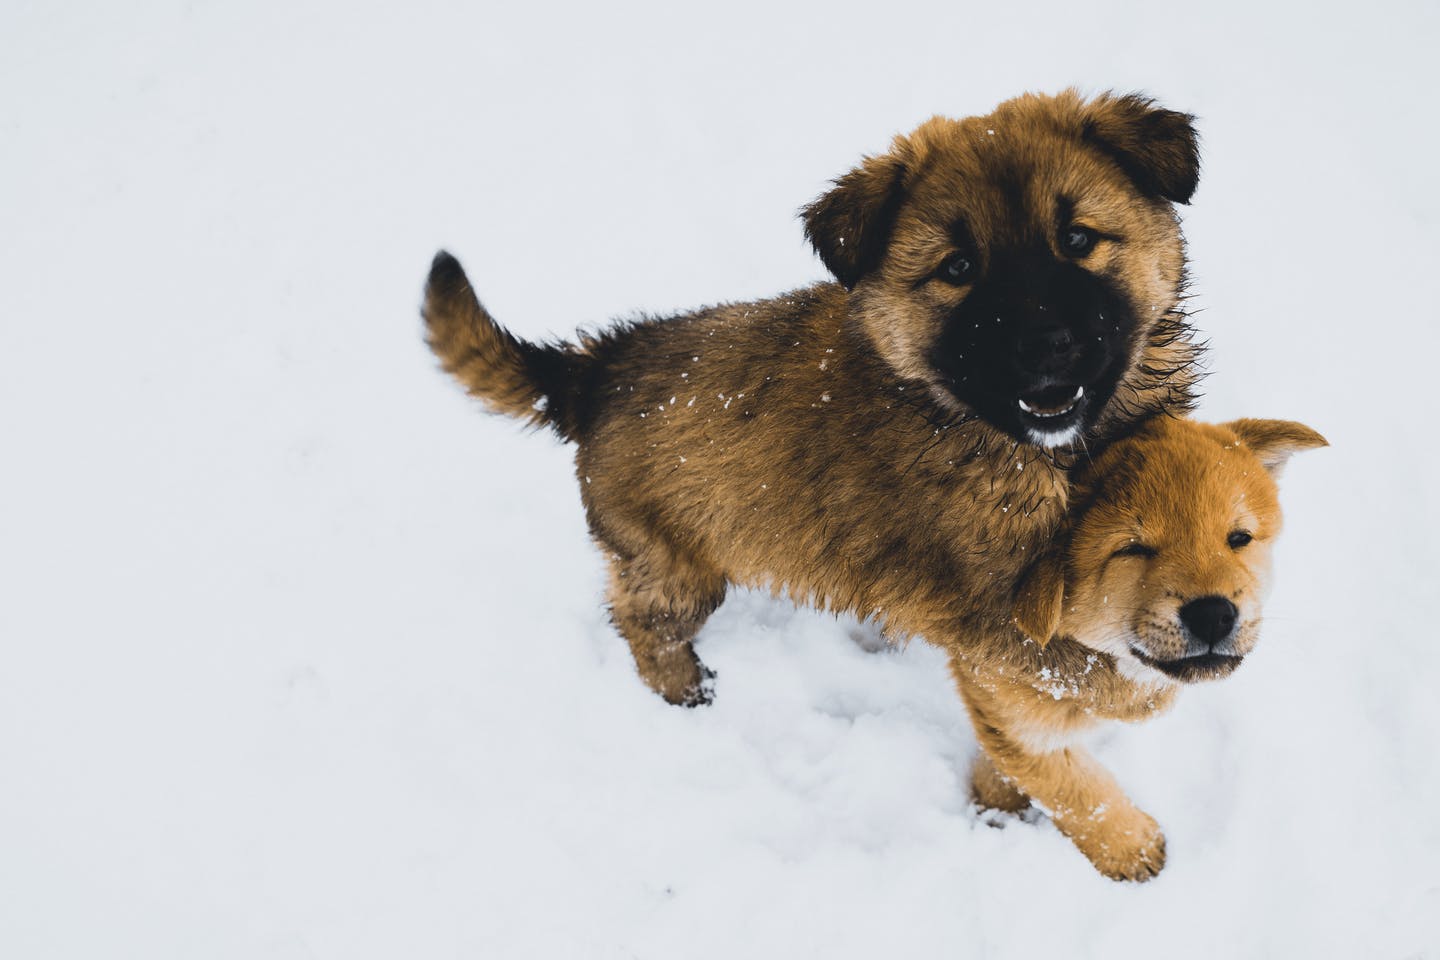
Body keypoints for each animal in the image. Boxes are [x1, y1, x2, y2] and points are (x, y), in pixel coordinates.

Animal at [961, 414, 1319, 880]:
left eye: (1239, 538)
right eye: (1134, 548)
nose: (1213, 615)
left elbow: (1022, 749)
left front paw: (995, 794)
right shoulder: (991, 662)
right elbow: (1064, 781)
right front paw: (1128, 846)